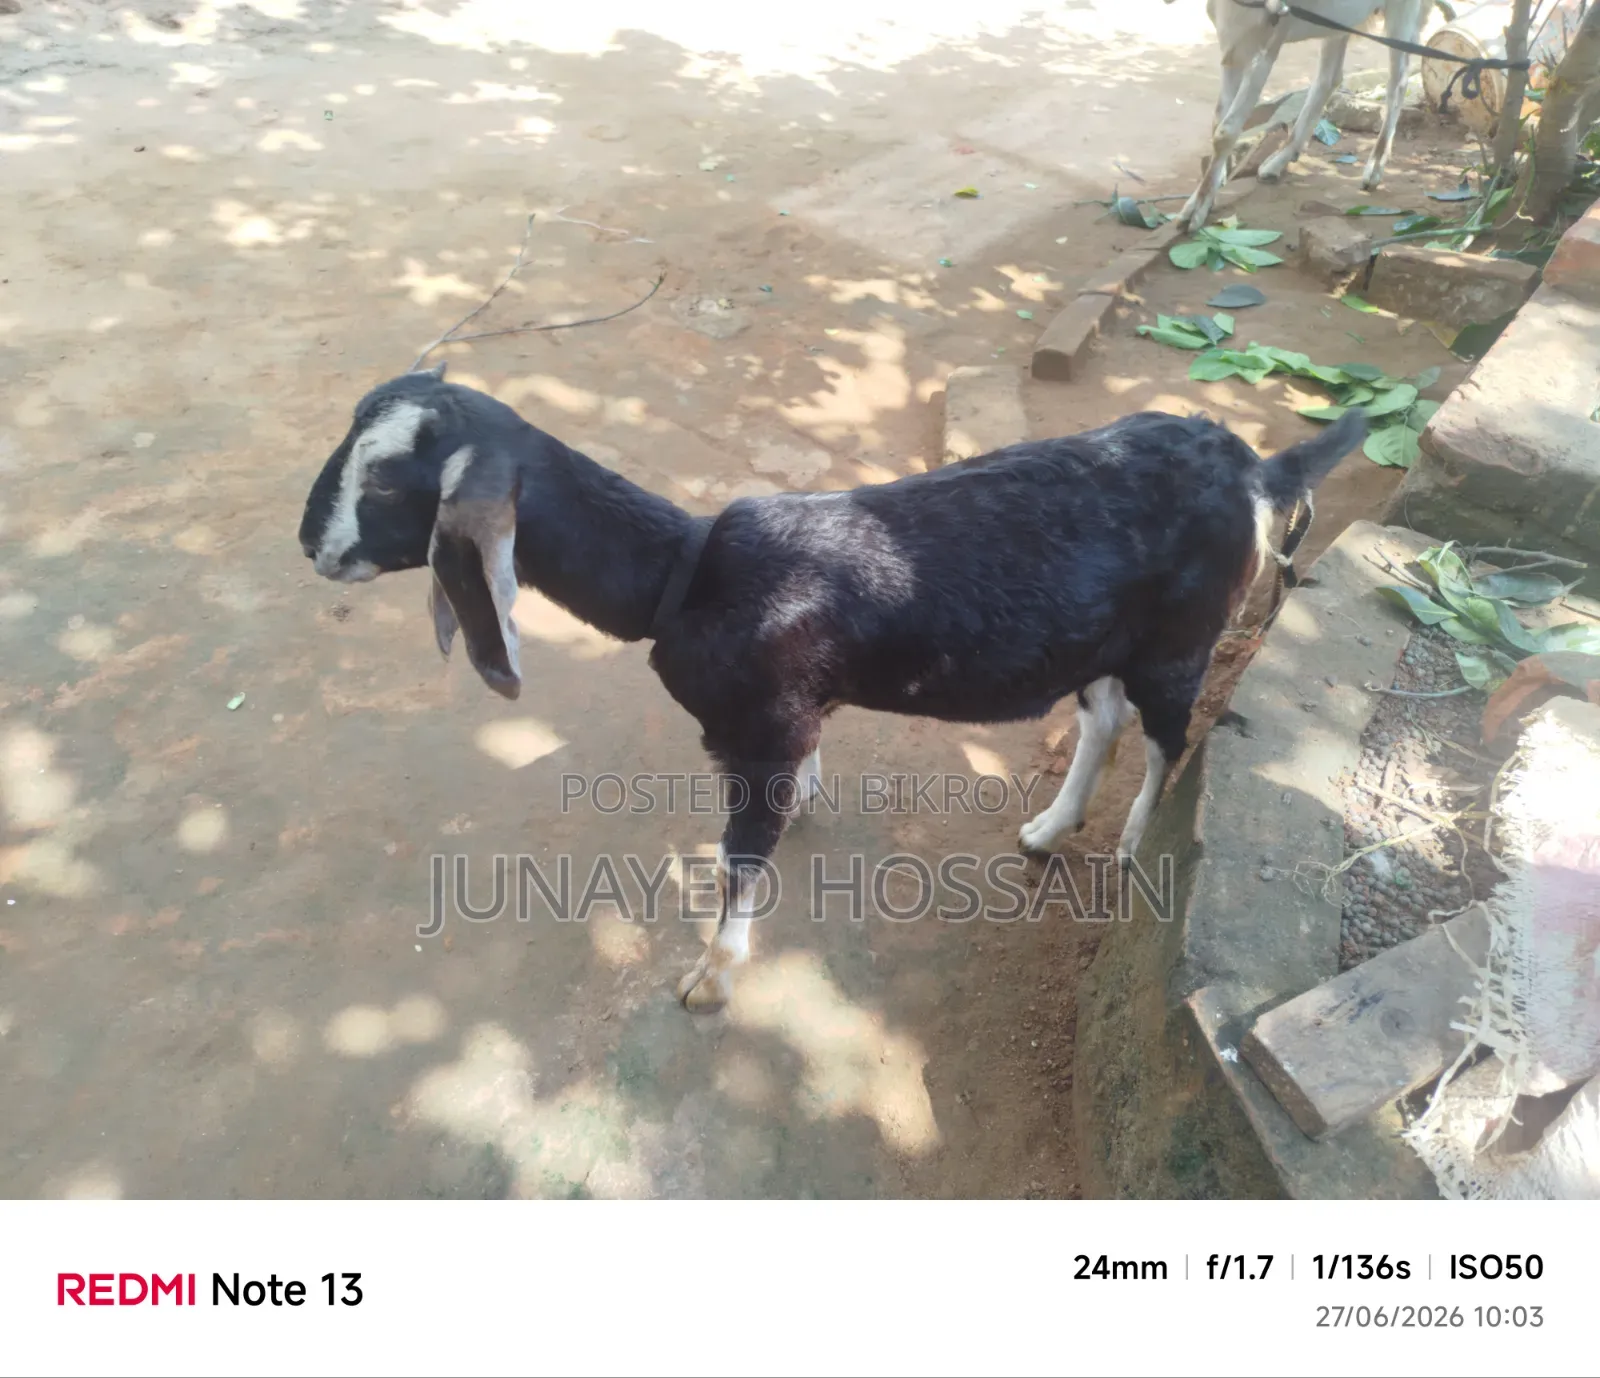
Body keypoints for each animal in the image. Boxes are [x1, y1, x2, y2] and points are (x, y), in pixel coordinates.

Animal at [298, 363, 1366, 1012]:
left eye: (388, 481)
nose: (312, 545)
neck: (684, 573)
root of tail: (1258, 470)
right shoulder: (787, 719)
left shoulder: (757, 735)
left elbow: (738, 861)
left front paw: (711, 980)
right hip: (1102, 642)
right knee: (1104, 718)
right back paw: (1049, 829)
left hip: (1179, 642)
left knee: (1167, 739)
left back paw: (1133, 849)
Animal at [1174, 0, 1431, 231]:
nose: (1274, 8)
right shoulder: (1232, 47)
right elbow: (1218, 122)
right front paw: (1212, 189)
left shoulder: (1266, 48)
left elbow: (1226, 131)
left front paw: (1194, 211)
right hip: (1339, 22)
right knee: (1330, 77)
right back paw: (1277, 161)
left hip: (1404, 11)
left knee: (1398, 80)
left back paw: (1374, 168)